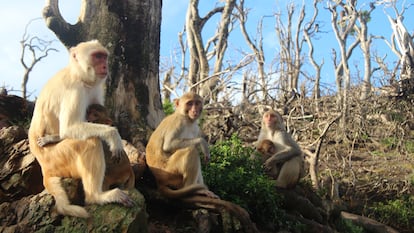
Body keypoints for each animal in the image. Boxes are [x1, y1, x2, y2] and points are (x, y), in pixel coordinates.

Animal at [29, 39, 133, 218]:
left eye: (104, 56)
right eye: (97, 56)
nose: (105, 66)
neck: (79, 74)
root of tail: (43, 166)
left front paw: (53, 137)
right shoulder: (74, 89)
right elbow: (68, 128)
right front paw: (114, 136)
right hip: (56, 159)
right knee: (90, 141)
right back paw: (96, 196)